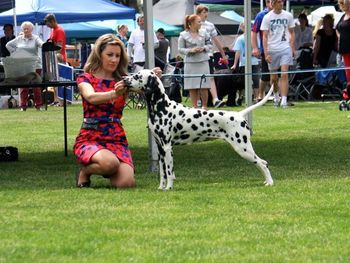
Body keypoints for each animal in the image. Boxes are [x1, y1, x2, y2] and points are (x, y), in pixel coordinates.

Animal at [124, 69, 274, 191]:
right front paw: (161, 187)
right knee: (263, 163)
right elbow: (162, 173)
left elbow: (169, 171)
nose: (124, 79)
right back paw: (267, 182)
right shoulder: (160, 149)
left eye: (137, 76)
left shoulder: (167, 147)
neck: (161, 106)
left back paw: (270, 183)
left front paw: (169, 188)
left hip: (243, 148)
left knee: (263, 163)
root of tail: (239, 114)